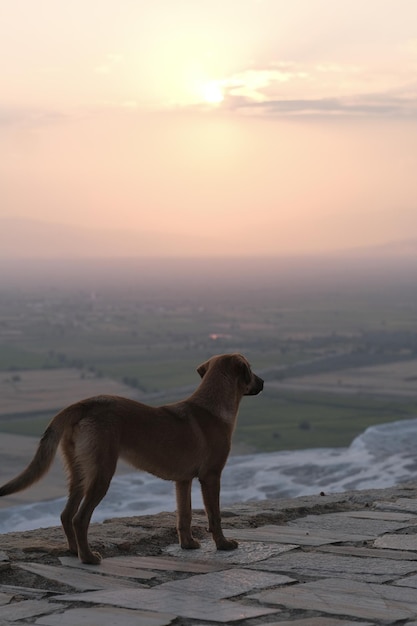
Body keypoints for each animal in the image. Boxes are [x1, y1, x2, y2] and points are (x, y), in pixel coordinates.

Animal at [0, 354, 260, 564]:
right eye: (250, 369)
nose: (263, 382)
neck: (213, 406)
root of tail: (85, 404)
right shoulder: (211, 476)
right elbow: (214, 515)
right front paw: (223, 544)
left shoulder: (182, 481)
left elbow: (184, 515)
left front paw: (188, 544)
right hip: (102, 473)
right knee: (79, 518)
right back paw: (88, 557)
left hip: (80, 471)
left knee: (66, 514)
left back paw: (75, 551)